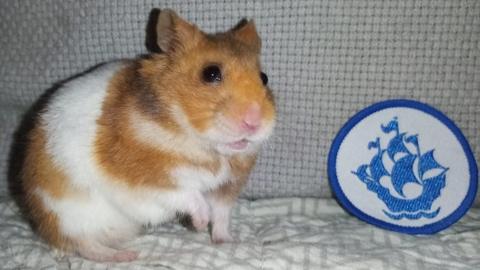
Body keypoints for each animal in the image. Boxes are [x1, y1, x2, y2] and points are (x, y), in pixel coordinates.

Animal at [16, 9, 276, 262]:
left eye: (264, 77)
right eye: (211, 73)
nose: (254, 122)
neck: (206, 147)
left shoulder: (226, 187)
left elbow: (221, 216)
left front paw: (227, 241)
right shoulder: (151, 181)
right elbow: (191, 196)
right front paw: (200, 225)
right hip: (66, 212)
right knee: (82, 244)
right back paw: (124, 256)